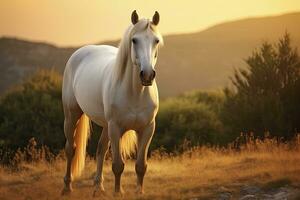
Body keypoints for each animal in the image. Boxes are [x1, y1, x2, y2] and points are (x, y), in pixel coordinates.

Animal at [61, 9, 164, 195]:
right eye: (134, 40)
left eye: (156, 40)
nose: (147, 75)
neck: (135, 94)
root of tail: (80, 52)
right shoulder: (116, 128)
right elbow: (117, 165)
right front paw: (117, 193)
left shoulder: (147, 128)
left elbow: (141, 166)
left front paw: (139, 193)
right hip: (72, 115)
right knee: (70, 149)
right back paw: (67, 187)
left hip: (105, 125)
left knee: (100, 150)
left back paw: (98, 187)